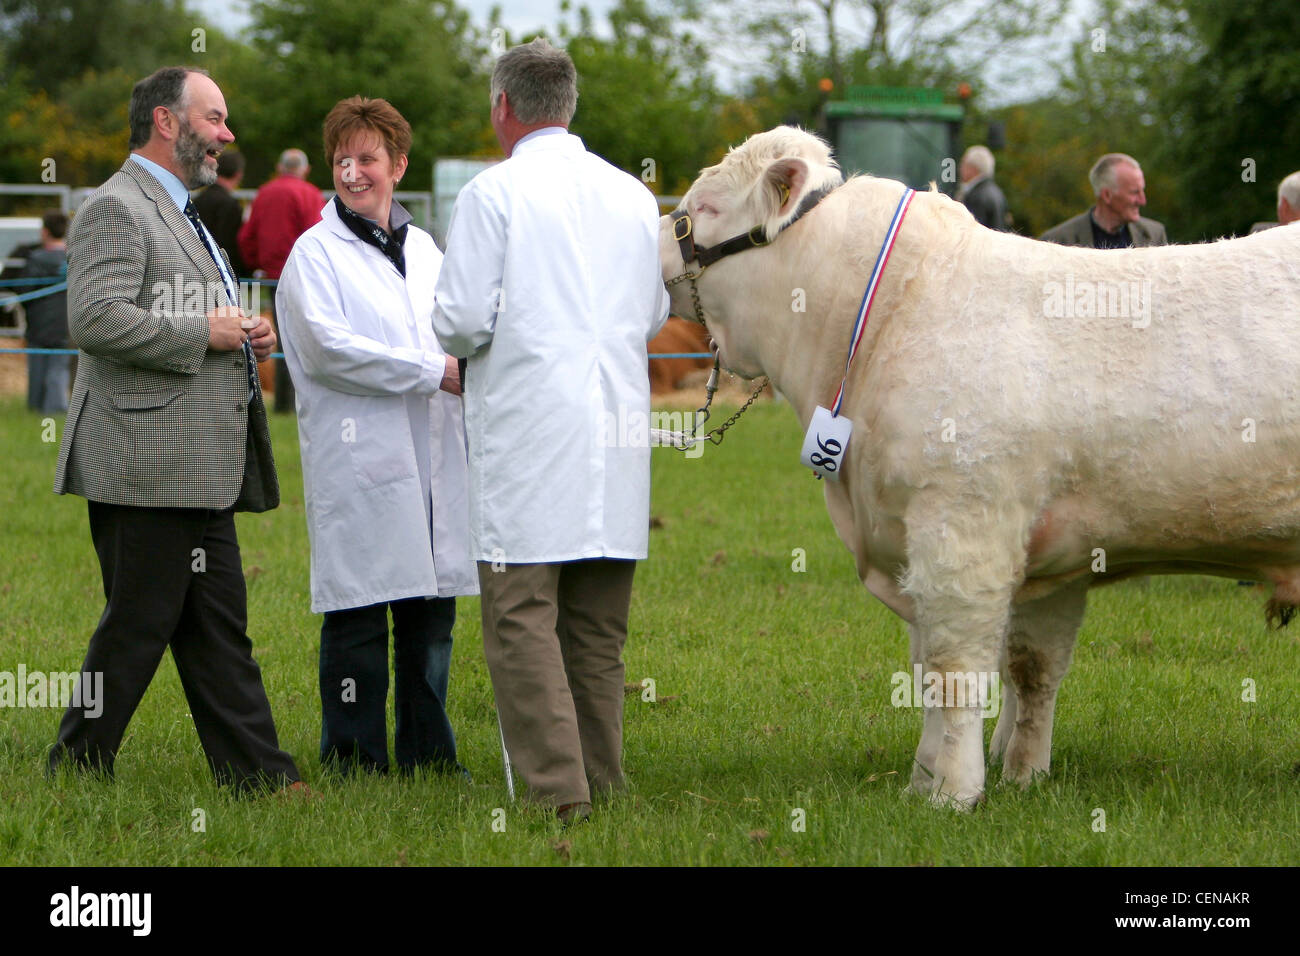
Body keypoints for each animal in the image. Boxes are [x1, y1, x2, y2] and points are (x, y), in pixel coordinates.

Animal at [660, 125, 1300, 806]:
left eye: (705, 207)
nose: (659, 246)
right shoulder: (1049, 549)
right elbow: (1023, 668)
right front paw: (982, 777)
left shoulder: (964, 530)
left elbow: (955, 670)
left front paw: (955, 791)